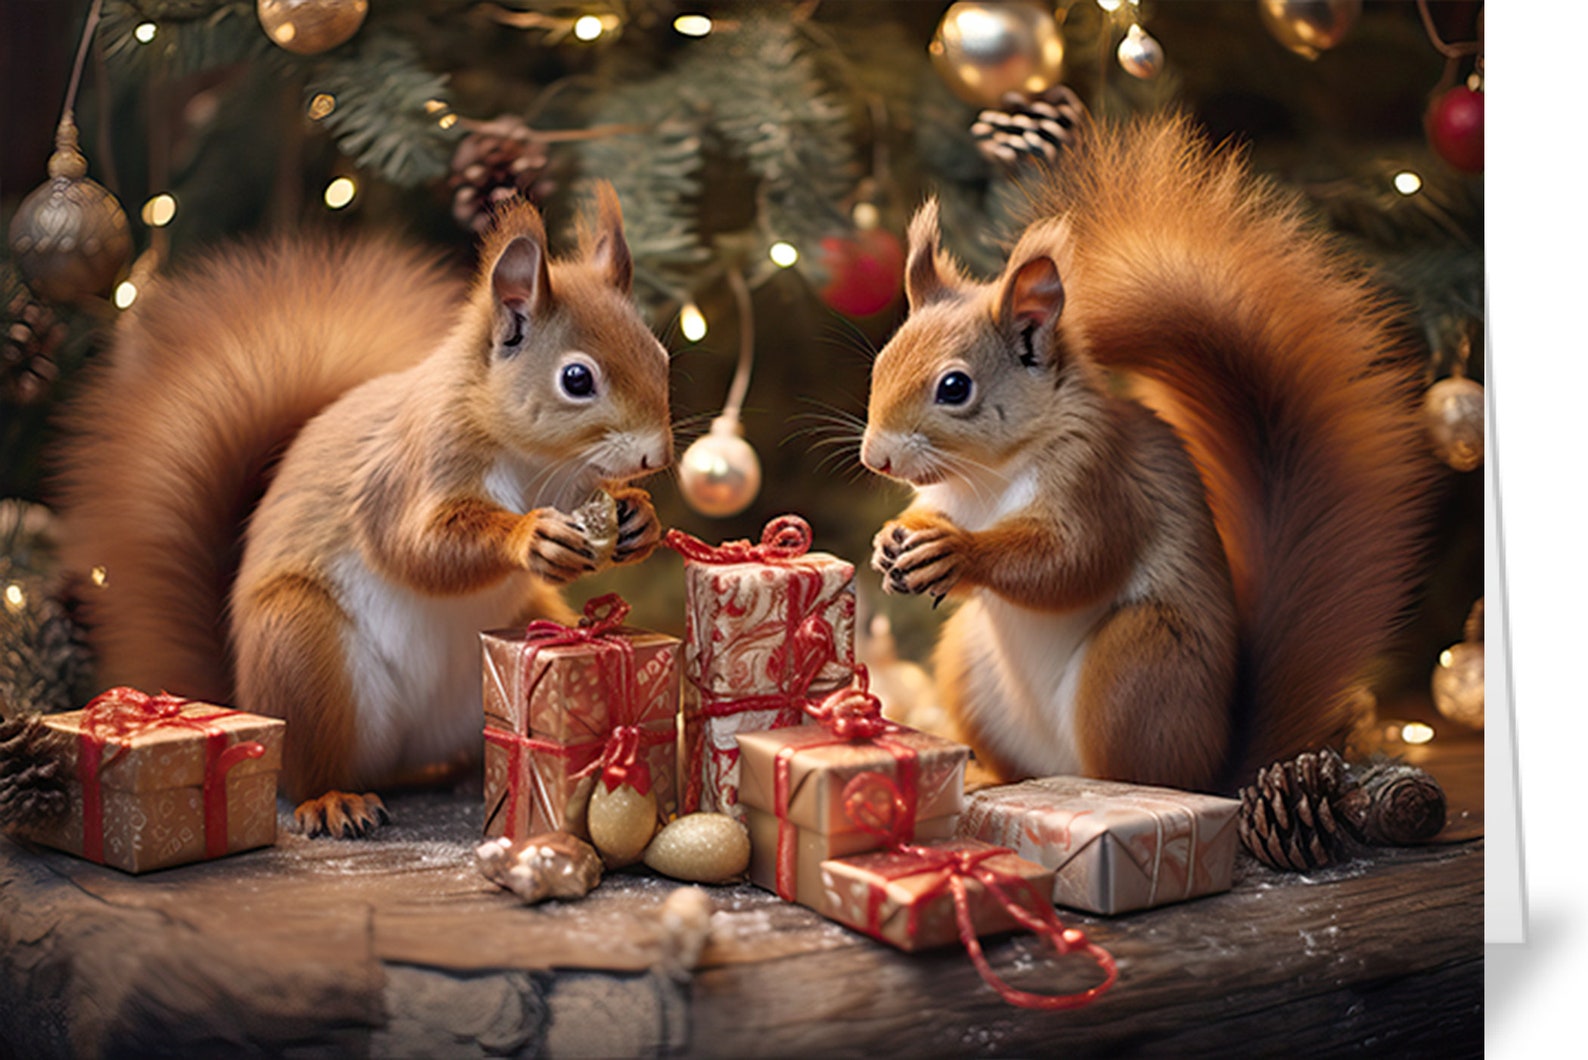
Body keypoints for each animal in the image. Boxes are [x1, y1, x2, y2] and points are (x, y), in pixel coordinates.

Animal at [53, 186, 673, 836]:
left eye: (659, 354)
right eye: (576, 379)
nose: (657, 455)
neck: (536, 462)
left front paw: (640, 517)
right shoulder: (411, 470)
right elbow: (415, 546)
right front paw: (528, 535)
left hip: (520, 624)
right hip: (302, 650)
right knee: (308, 767)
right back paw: (333, 800)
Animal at [862, 115, 1435, 794]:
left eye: (954, 387)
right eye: (880, 364)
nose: (875, 460)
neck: (986, 477)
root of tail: (1218, 767)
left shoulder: (1100, 480)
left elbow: (1072, 559)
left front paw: (957, 551)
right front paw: (891, 540)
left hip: (1140, 663)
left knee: (1131, 768)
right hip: (968, 663)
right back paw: (987, 782)